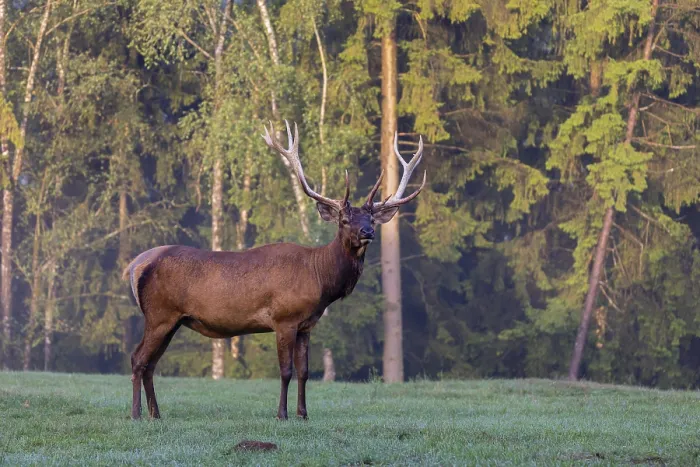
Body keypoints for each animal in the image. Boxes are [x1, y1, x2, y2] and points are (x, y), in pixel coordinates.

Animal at [122, 121, 425, 421]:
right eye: (344, 219)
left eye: (371, 218)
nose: (368, 232)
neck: (320, 279)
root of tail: (135, 265)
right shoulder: (284, 319)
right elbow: (286, 371)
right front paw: (282, 414)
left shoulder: (307, 325)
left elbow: (304, 372)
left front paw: (303, 414)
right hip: (160, 315)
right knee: (138, 359)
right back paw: (136, 414)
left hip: (172, 320)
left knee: (150, 364)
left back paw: (156, 414)